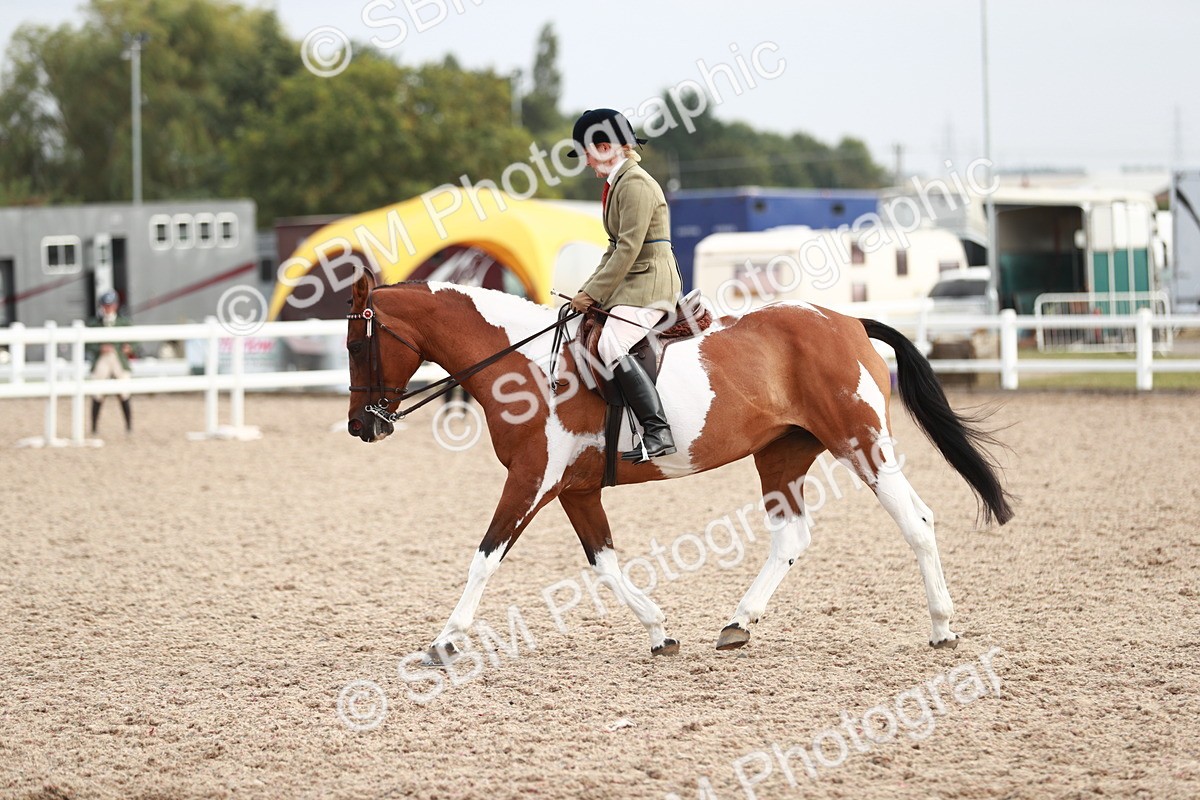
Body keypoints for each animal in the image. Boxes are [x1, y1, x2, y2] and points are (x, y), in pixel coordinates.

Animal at [345, 271, 1013, 661]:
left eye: (356, 344)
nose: (361, 426)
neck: (526, 368)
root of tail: (845, 320)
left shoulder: (533, 481)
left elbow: (484, 557)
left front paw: (444, 640)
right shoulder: (575, 490)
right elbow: (605, 565)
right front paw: (659, 630)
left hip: (861, 444)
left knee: (916, 521)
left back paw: (942, 626)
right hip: (781, 454)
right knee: (792, 537)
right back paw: (738, 623)